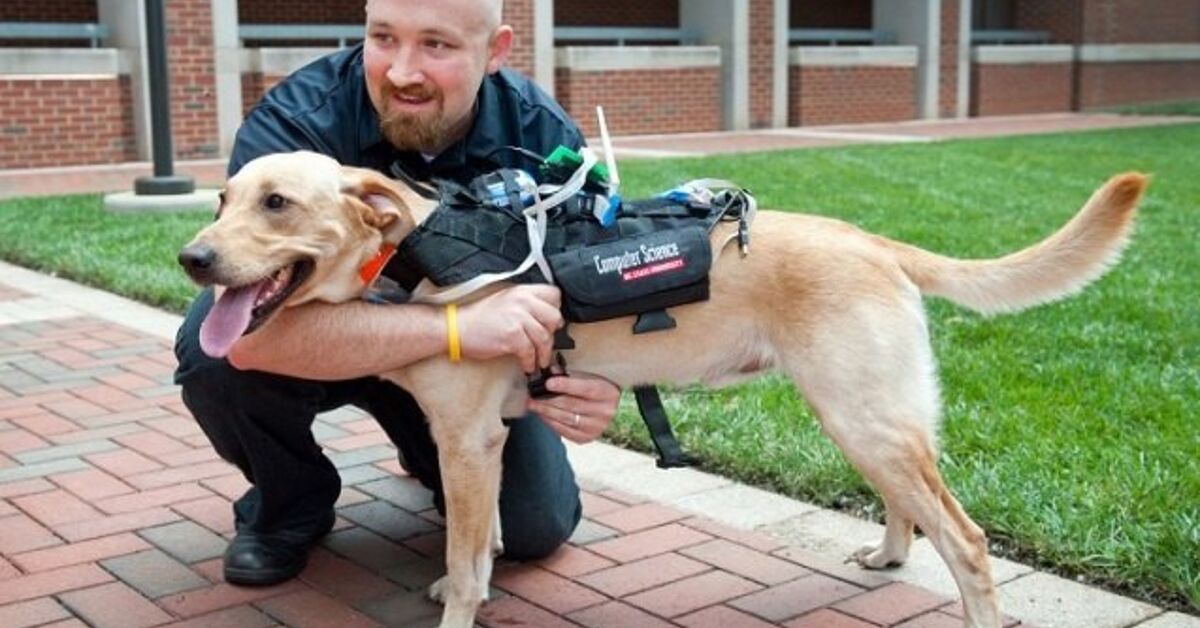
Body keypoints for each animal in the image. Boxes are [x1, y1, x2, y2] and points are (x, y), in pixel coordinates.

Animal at [177, 152, 1142, 628]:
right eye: (221, 198)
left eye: (276, 204)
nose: (191, 257)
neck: (410, 253)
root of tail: (874, 240)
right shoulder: (481, 443)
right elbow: (477, 547)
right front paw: (460, 585)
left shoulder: (468, 442)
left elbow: (469, 554)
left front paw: (459, 603)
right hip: (864, 421)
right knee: (915, 514)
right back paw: (889, 556)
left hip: (866, 420)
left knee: (968, 542)